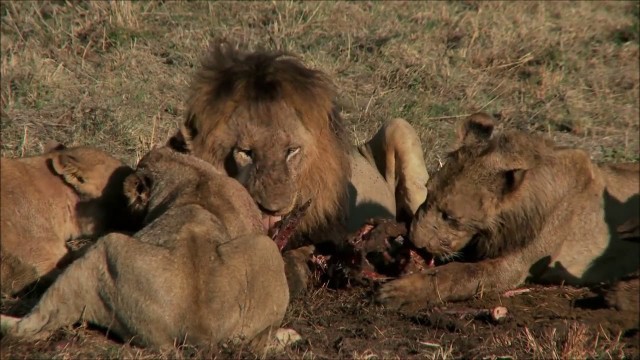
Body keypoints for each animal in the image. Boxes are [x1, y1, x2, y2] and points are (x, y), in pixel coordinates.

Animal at [378, 113, 636, 312]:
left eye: (450, 216)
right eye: (427, 193)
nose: (415, 241)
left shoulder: (514, 267)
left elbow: (457, 273)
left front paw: (399, 291)